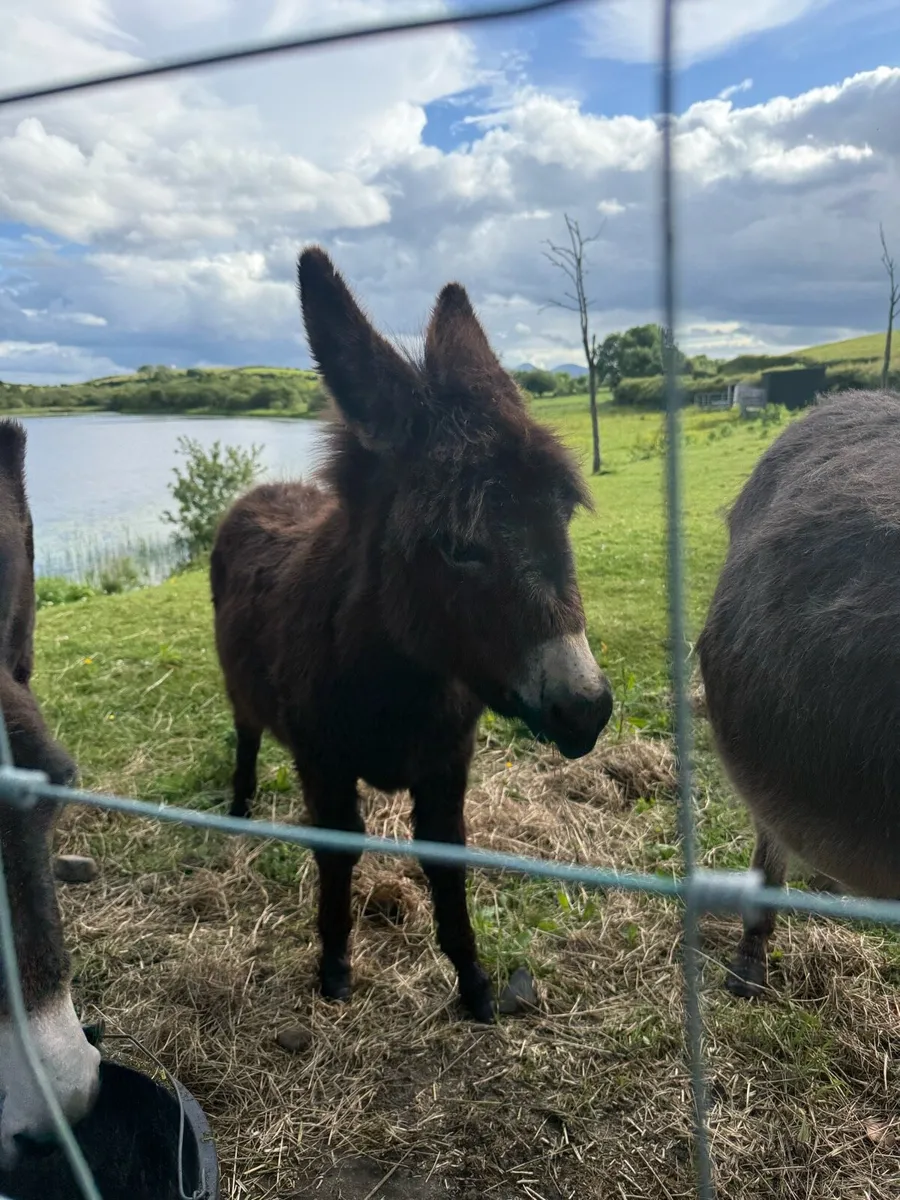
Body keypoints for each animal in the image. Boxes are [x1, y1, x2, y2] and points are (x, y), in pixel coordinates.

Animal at [211, 247, 613, 1022]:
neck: (400, 677)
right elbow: (337, 856)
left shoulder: (447, 763)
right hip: (241, 690)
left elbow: (448, 863)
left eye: (564, 515)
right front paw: (334, 969)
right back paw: (239, 807)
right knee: (246, 732)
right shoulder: (323, 762)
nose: (587, 710)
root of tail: (264, 490)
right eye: (456, 546)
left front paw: (476, 987)